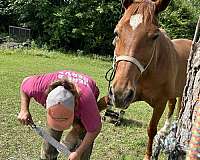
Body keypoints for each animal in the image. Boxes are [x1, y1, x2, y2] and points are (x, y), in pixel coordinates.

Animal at [109, 0, 192, 160]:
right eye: (116, 32)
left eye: (154, 36)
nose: (121, 93)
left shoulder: (160, 103)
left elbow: (151, 129)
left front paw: (148, 155)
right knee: (173, 104)